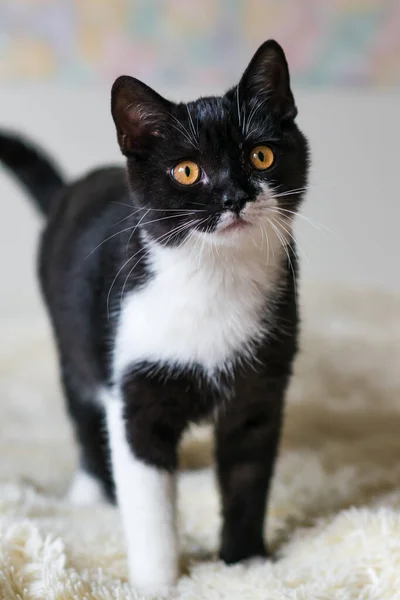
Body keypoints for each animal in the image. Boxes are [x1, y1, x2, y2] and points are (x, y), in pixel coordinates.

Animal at [0, 41, 310, 596]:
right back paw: (92, 491)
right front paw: (158, 582)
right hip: (75, 338)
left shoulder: (260, 392)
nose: (234, 196)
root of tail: (70, 189)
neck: (214, 280)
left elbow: (247, 478)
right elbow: (149, 503)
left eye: (261, 155)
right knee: (82, 406)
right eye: (187, 171)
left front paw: (245, 565)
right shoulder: (135, 391)